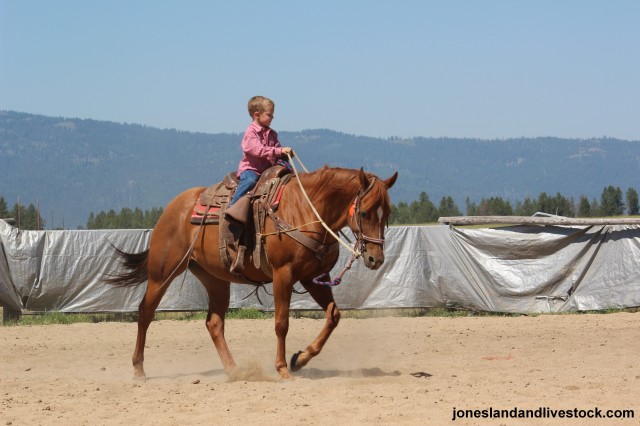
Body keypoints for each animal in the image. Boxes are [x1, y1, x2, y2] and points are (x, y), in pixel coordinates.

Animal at [106, 165, 398, 380]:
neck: (306, 210)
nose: (376, 258)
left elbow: (333, 316)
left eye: (386, 214)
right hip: (163, 272)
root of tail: (172, 208)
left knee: (214, 323)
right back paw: (139, 369)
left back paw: (235, 370)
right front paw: (282, 368)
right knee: (145, 313)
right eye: (365, 212)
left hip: (215, 279)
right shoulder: (283, 274)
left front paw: (300, 359)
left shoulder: (314, 278)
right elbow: (281, 323)